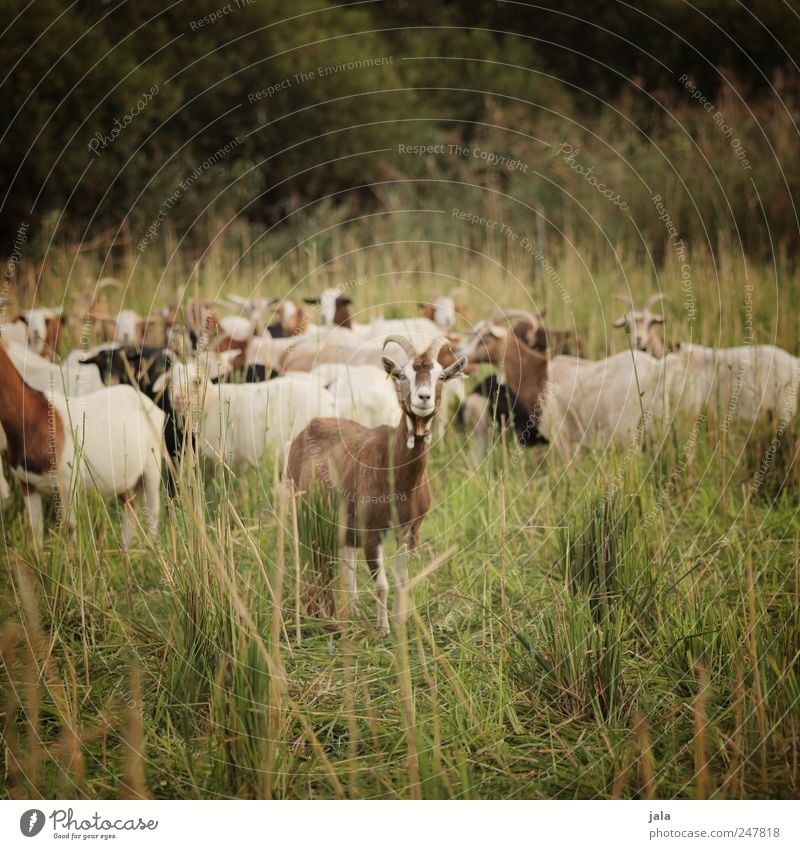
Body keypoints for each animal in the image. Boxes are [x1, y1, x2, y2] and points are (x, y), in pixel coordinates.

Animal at [0, 336, 164, 544]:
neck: (34, 416)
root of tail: (144, 400)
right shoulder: (27, 484)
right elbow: (35, 532)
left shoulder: (67, 483)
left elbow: (70, 527)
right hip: (121, 476)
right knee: (130, 508)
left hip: (152, 465)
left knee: (153, 511)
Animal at [288, 334, 466, 632]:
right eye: (403, 375)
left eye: (441, 376)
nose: (424, 398)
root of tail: (310, 426)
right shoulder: (372, 534)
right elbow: (382, 584)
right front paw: (384, 630)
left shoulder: (410, 533)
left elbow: (403, 581)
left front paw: (400, 623)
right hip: (301, 513)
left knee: (346, 565)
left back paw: (352, 610)